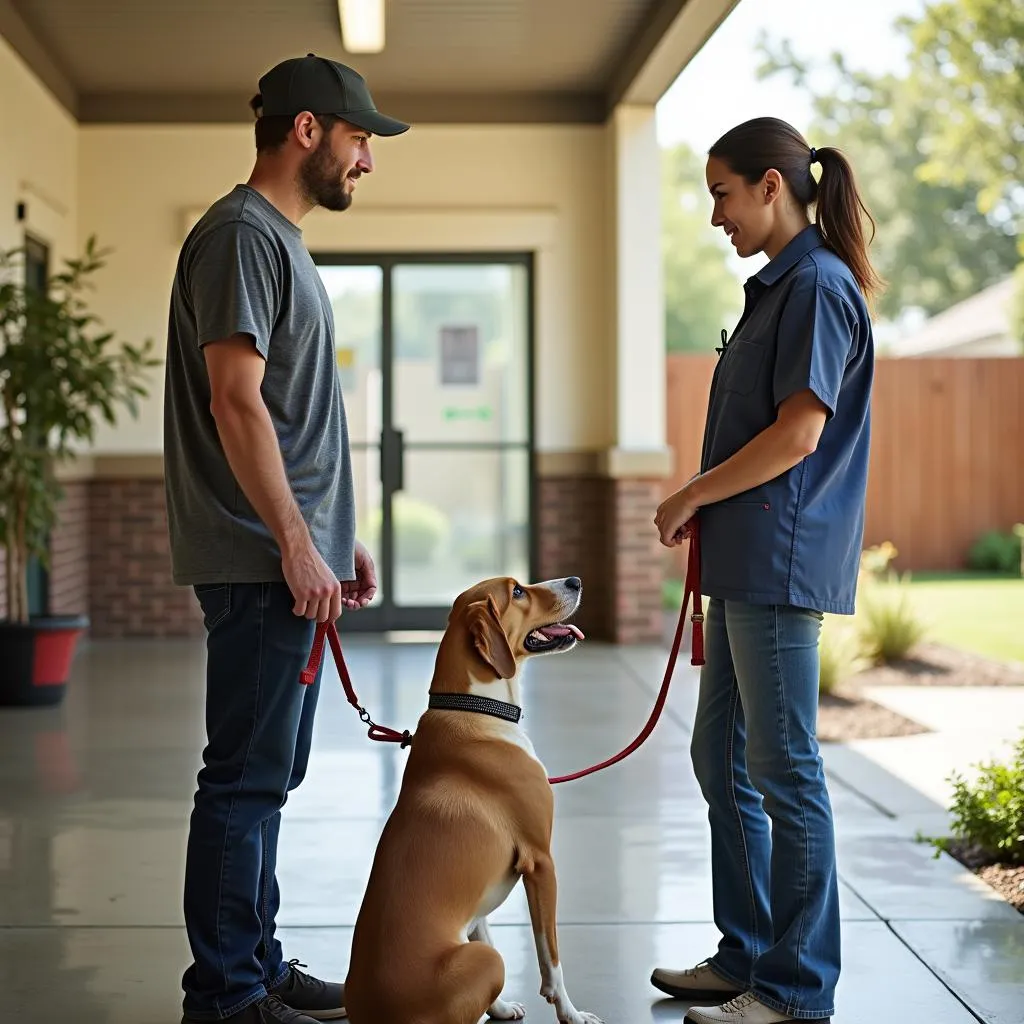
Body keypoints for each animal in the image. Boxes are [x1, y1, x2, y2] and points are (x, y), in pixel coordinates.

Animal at [346, 577, 598, 1024]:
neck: (478, 708)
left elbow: (485, 930)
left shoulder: (480, 905)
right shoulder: (541, 863)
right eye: (518, 592)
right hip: (488, 961)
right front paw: (571, 1013)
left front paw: (501, 1008)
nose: (576, 581)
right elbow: (551, 959)